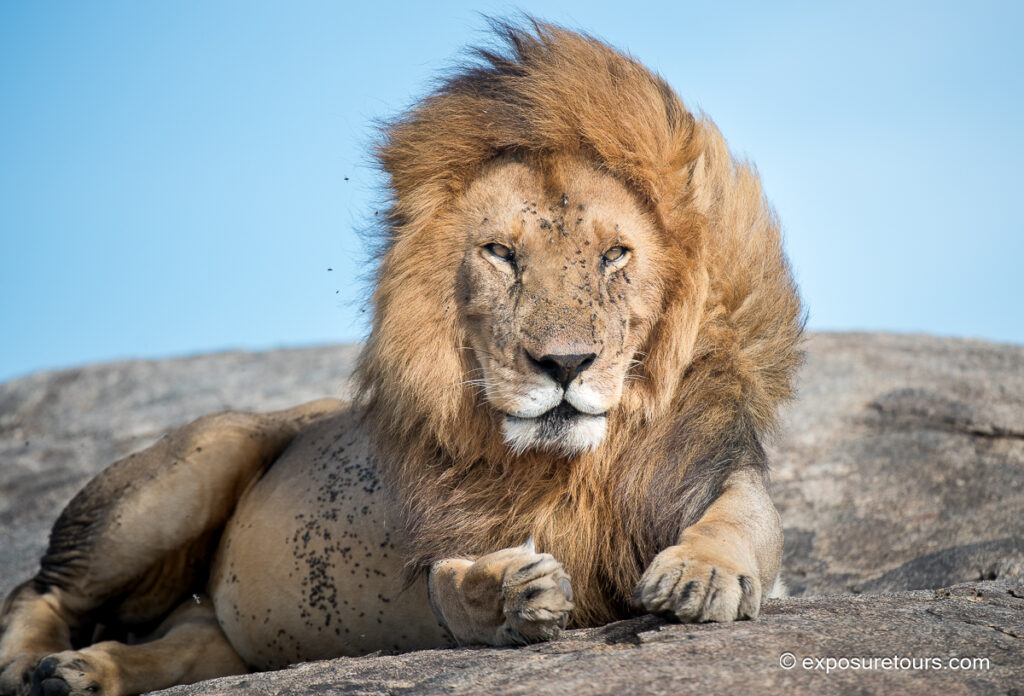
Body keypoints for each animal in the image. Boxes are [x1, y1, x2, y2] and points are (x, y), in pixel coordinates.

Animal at [0, 21, 802, 696]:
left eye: (615, 255)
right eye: (501, 254)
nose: (565, 364)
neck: (567, 465)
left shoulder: (711, 467)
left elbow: (743, 521)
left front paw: (703, 574)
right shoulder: (433, 549)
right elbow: (452, 587)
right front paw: (512, 593)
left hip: (218, 626)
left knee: (187, 643)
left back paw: (80, 672)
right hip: (195, 464)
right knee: (40, 586)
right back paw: (27, 665)